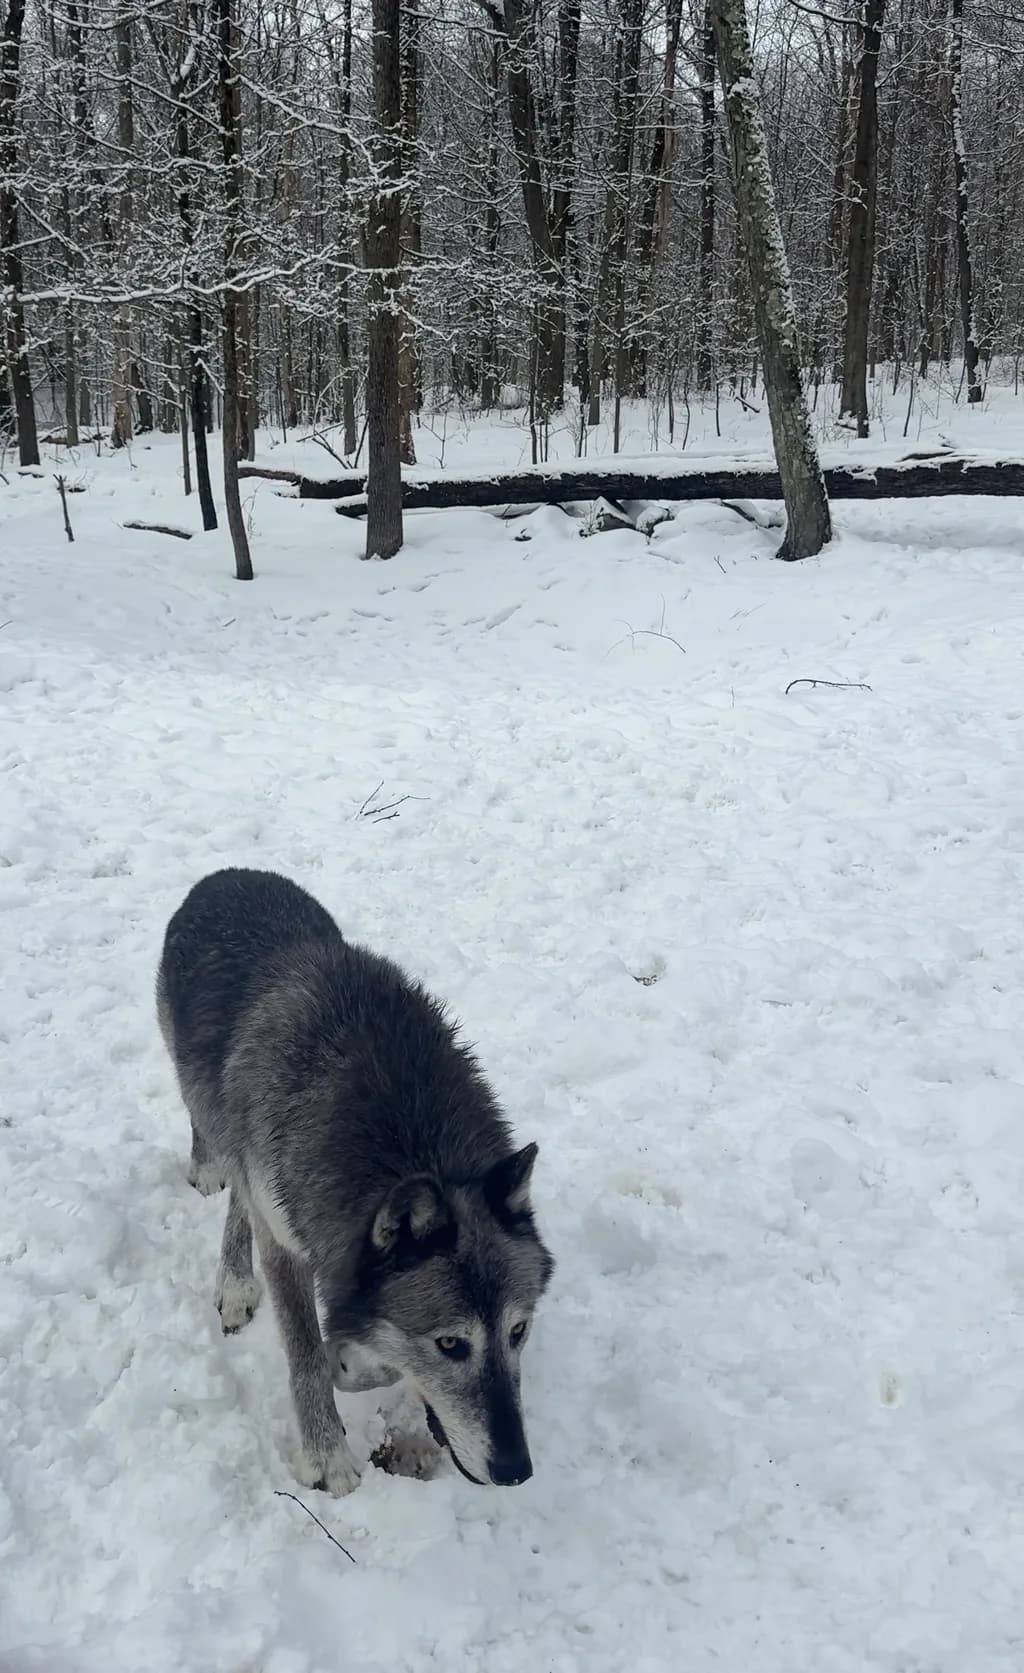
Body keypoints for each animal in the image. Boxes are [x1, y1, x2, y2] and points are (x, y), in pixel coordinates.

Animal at [156, 867, 553, 1495]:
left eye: (518, 1332)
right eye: (451, 1344)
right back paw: (234, 1274)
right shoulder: (287, 1242)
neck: (399, 1129)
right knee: (222, 1163)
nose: (515, 1471)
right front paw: (327, 1460)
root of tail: (229, 874)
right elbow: (306, 1355)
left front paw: (368, 1379)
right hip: (205, 1104)